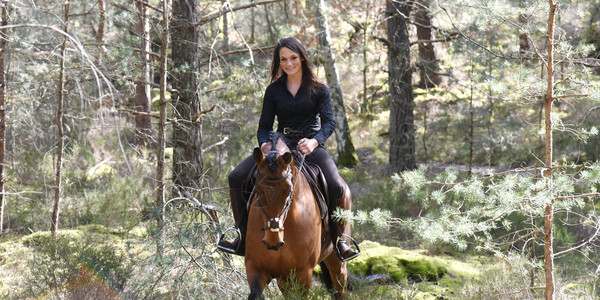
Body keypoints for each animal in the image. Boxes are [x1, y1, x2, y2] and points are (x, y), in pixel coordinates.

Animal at [245, 134, 352, 300]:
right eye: (257, 189)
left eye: (289, 190)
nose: (272, 240)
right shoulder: (255, 268)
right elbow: (256, 294)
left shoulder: (303, 273)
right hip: (284, 278)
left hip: (336, 260)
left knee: (339, 287)